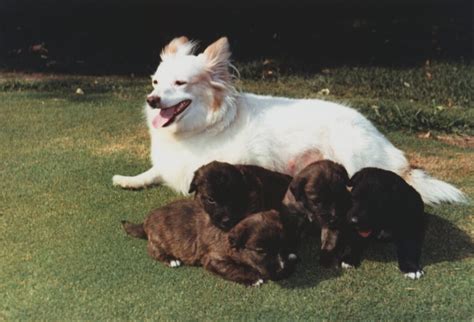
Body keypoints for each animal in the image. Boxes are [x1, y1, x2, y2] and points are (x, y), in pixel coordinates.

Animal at [113, 36, 464, 205]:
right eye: (155, 83)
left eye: (180, 84)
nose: (152, 100)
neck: (195, 130)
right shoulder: (170, 163)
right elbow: (153, 172)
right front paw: (130, 180)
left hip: (348, 146)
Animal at [121, 200, 296, 286]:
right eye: (261, 251)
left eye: (283, 246)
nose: (282, 271)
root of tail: (145, 222)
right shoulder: (213, 259)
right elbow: (233, 268)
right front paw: (253, 278)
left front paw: (291, 256)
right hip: (158, 241)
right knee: (153, 251)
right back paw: (171, 260)